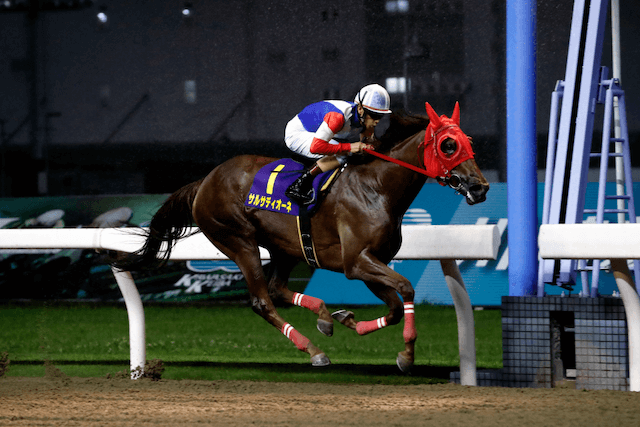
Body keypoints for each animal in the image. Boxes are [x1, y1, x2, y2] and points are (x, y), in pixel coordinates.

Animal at [115, 102, 492, 372]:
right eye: (447, 145)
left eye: (469, 143)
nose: (480, 187)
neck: (377, 188)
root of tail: (205, 180)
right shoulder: (357, 262)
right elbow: (406, 290)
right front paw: (407, 355)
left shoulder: (371, 264)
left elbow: (397, 306)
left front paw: (349, 320)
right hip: (238, 240)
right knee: (262, 300)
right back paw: (314, 350)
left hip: (285, 247)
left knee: (277, 288)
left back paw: (324, 317)